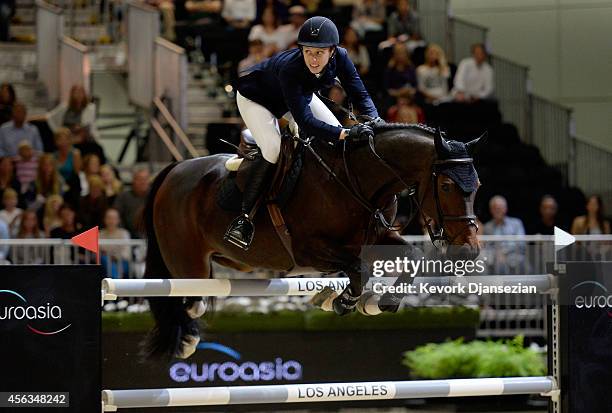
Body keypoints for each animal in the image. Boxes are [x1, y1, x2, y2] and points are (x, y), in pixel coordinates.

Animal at [142, 122, 482, 358]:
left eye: (478, 185)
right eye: (447, 186)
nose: (468, 250)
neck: (356, 180)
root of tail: (174, 169)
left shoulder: (376, 238)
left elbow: (412, 256)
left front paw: (380, 302)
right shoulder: (308, 251)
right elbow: (358, 269)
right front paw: (342, 300)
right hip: (188, 264)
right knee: (186, 300)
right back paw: (186, 339)